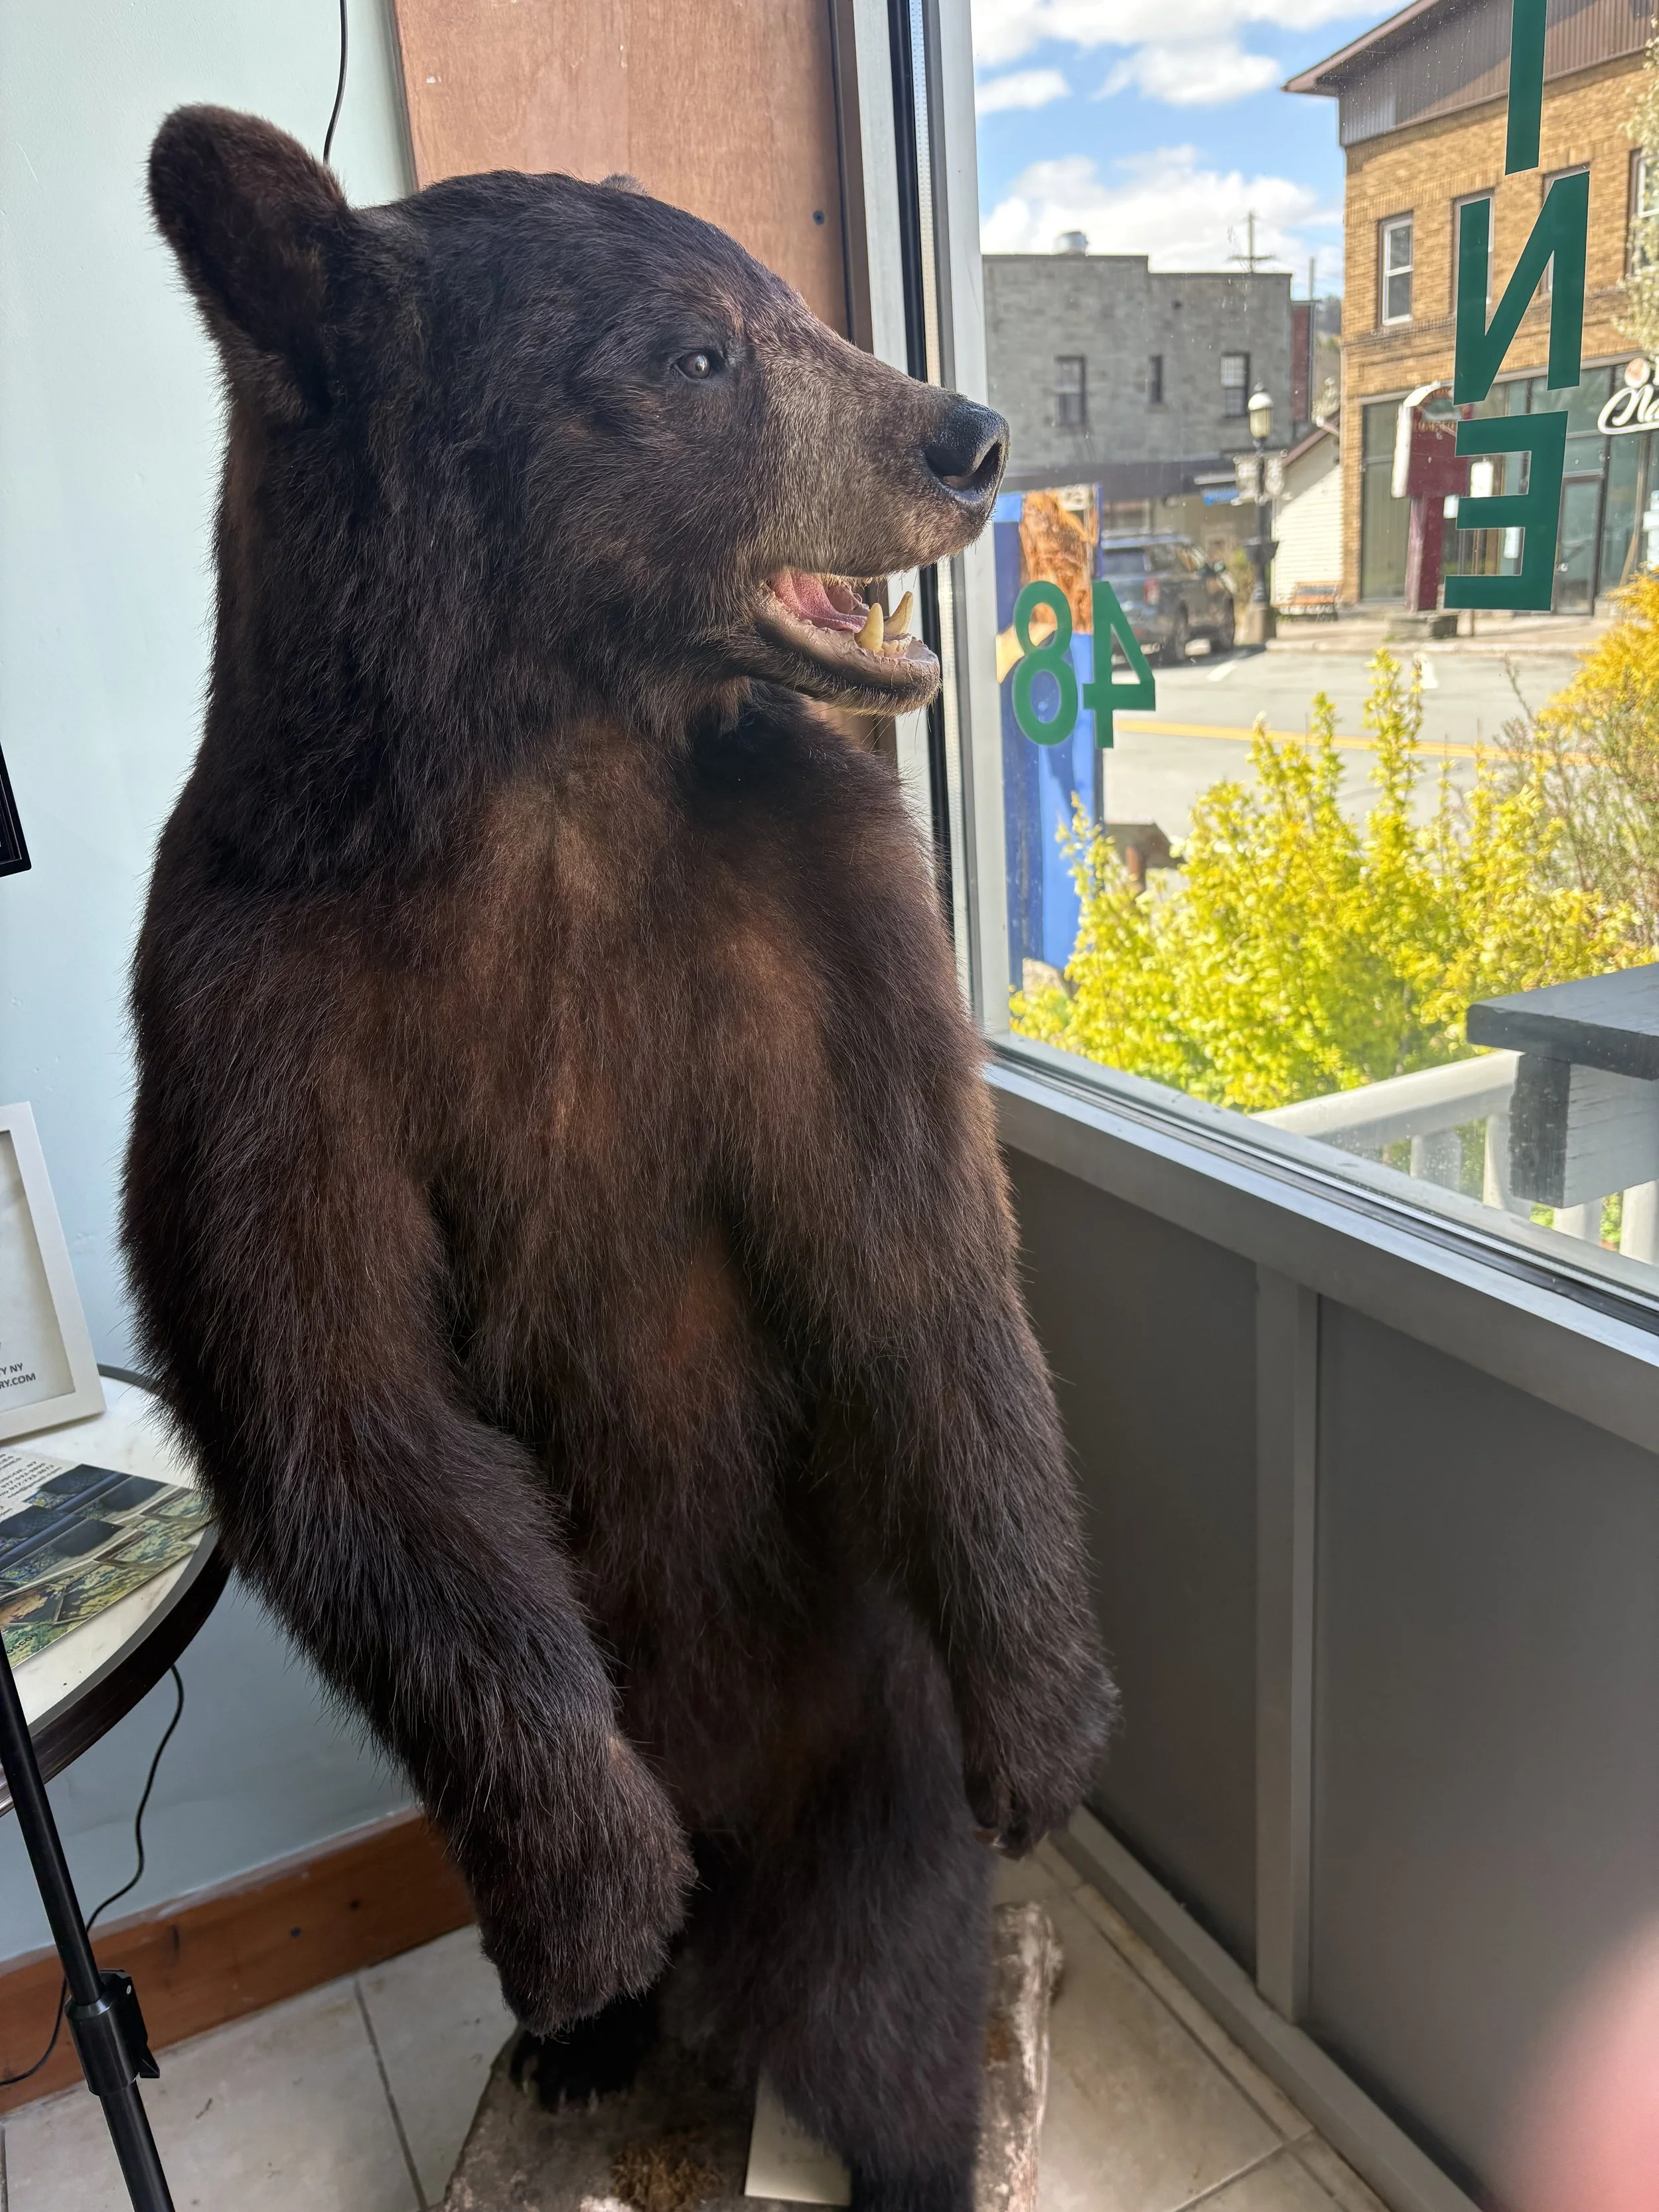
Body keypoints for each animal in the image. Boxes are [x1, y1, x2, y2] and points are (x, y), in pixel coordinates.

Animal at [124, 107, 1113, 2212]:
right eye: (695, 353)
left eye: (787, 301)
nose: (969, 435)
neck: (541, 777)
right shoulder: (263, 1003)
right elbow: (328, 1398)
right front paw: (593, 1903)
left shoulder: (812, 903)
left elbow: (922, 1258)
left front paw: (1054, 1730)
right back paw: (586, 2030)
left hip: (860, 1755)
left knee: (886, 2004)